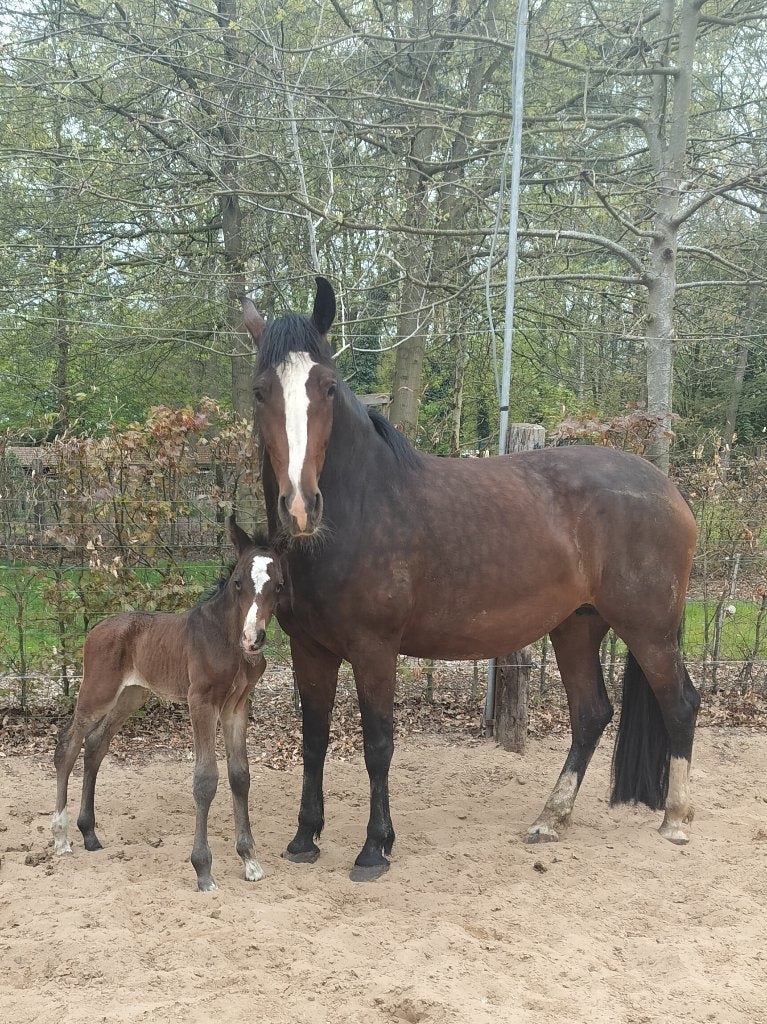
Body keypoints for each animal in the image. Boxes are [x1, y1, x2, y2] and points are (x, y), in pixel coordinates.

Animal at [51, 516, 284, 891]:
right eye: (237, 583)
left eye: (278, 585)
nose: (254, 639)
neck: (229, 641)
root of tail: (96, 628)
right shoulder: (201, 702)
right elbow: (205, 779)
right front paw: (203, 870)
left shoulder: (237, 705)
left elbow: (240, 775)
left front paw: (250, 860)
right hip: (98, 692)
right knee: (68, 745)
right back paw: (60, 837)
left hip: (131, 695)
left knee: (96, 743)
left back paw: (89, 834)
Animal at [242, 276, 700, 882]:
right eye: (259, 391)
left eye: (329, 387)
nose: (300, 507)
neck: (365, 507)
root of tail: (667, 489)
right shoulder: (309, 648)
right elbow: (314, 740)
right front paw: (304, 838)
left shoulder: (374, 649)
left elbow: (377, 744)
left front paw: (374, 848)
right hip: (577, 627)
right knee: (591, 714)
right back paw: (550, 820)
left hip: (649, 631)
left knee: (680, 705)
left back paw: (674, 820)